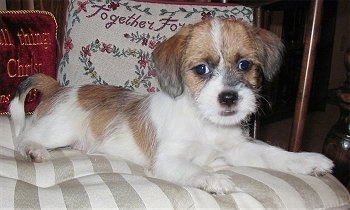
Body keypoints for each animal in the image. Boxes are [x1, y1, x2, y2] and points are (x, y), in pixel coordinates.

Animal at [10, 18, 334, 194]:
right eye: (201, 69)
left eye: (245, 65)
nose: (229, 97)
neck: (205, 125)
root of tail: (60, 87)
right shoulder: (168, 160)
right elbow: (194, 168)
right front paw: (214, 178)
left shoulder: (239, 149)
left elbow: (274, 154)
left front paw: (308, 161)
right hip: (58, 130)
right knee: (23, 136)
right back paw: (34, 150)